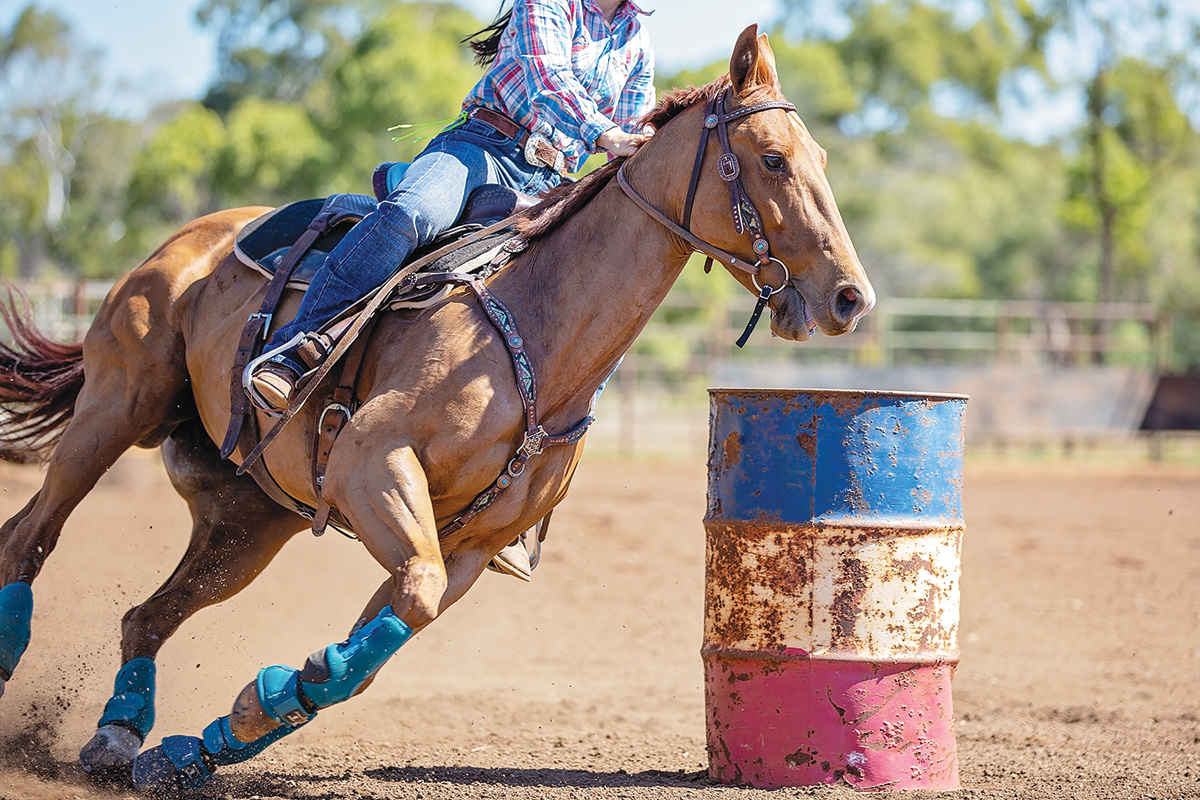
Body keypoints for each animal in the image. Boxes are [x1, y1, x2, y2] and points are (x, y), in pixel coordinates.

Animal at [0, 26, 873, 796]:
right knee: (30, 537)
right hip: (116, 409)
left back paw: (122, 738)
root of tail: (191, 241)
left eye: (827, 160)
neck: (538, 327)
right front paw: (264, 703)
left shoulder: (467, 547)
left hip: (247, 521)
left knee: (146, 615)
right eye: (773, 158)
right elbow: (401, 605)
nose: (849, 297)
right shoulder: (372, 463)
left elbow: (383, 636)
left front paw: (234, 725)